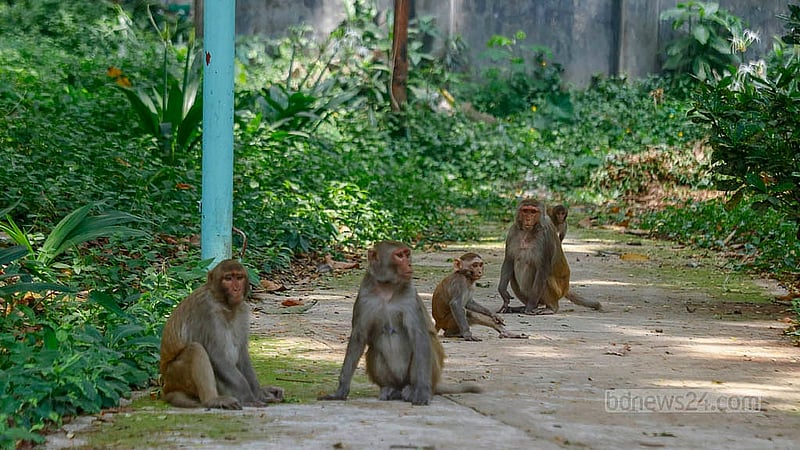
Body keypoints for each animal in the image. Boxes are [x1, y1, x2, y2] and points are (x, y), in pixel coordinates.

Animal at [160, 259, 284, 409]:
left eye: (239, 277)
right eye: (228, 278)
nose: (236, 289)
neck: (224, 304)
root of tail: (166, 388)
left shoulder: (242, 310)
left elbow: (242, 354)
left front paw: (260, 393)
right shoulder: (207, 311)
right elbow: (217, 355)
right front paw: (249, 398)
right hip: (175, 375)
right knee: (196, 349)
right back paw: (212, 400)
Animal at [318, 241, 480, 405]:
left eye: (407, 255)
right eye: (399, 255)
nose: (409, 264)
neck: (387, 288)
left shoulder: (410, 297)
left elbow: (419, 337)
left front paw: (421, 392)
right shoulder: (364, 297)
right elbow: (358, 338)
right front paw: (340, 392)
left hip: (431, 374)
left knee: (423, 346)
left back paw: (413, 390)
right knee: (374, 351)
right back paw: (391, 389)